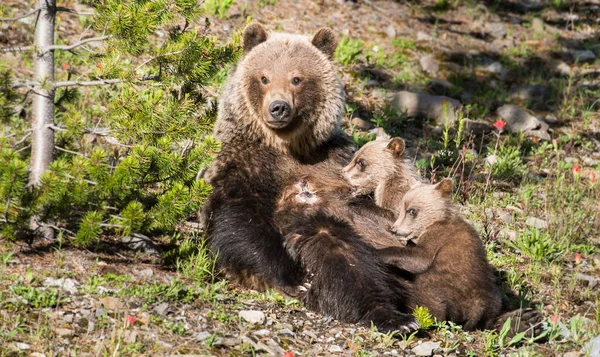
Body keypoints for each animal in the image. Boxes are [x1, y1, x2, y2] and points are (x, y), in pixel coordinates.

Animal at [203, 23, 418, 330]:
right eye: (264, 77)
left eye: (297, 78)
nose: (278, 107)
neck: (288, 146)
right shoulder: (244, 163)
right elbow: (240, 221)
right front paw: (292, 279)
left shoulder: (336, 157)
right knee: (337, 250)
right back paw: (390, 315)